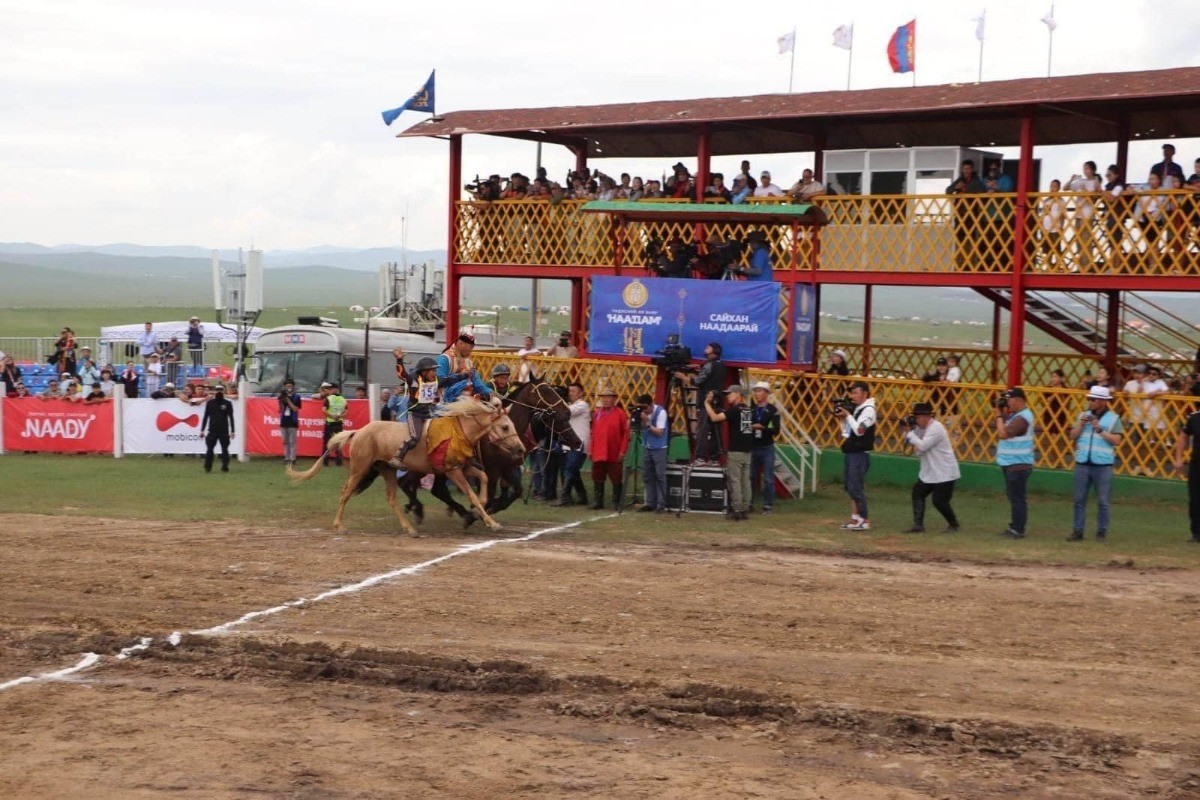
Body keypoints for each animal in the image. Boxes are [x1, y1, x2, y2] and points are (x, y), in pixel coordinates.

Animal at [288, 398, 523, 534]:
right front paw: (490, 522)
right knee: (346, 493)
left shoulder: (463, 468)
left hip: (387, 470)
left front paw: (476, 513)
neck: (459, 431)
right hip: (360, 468)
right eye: (504, 426)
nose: (521, 450)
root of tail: (359, 432)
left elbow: (483, 480)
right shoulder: (452, 471)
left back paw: (409, 527)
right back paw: (339, 525)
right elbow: (472, 494)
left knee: (392, 497)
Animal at [400, 381, 583, 525]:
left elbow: (516, 491)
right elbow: (491, 494)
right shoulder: (493, 471)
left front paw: (486, 510)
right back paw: (420, 509)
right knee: (414, 483)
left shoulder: (508, 469)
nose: (578, 442)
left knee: (429, 488)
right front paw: (478, 513)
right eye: (545, 391)